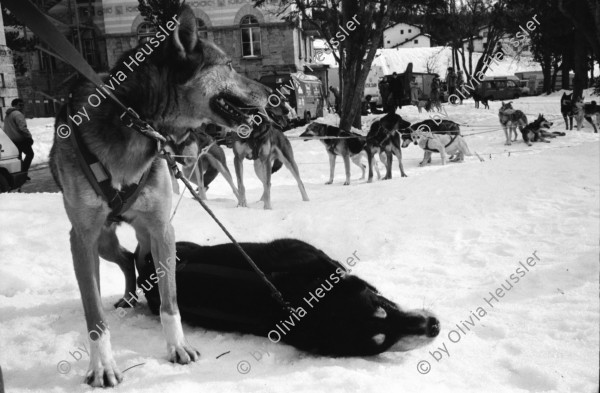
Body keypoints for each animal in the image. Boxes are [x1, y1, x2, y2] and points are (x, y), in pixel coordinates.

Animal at [49, 6, 268, 386]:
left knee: (132, 258)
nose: (270, 90)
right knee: (124, 260)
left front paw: (178, 347)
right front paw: (102, 365)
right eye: (228, 65)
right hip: (100, 241)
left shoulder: (163, 228)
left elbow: (170, 302)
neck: (132, 119)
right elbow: (94, 315)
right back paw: (125, 297)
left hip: (141, 234)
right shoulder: (82, 238)